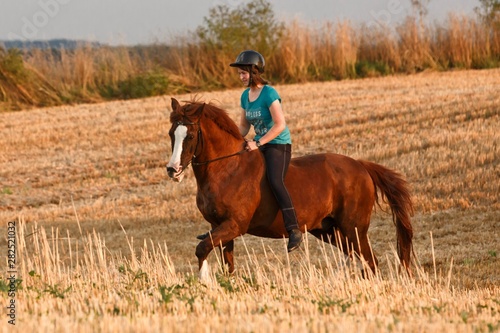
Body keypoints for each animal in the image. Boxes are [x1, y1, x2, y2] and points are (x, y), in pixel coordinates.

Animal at [166, 96, 412, 278]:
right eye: (171, 134)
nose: (172, 170)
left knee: (370, 261)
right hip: (330, 231)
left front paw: (204, 283)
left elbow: (201, 249)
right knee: (363, 259)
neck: (227, 168)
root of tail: (361, 166)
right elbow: (227, 265)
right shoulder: (220, 227)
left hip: (354, 228)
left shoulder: (234, 225)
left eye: (190, 135)